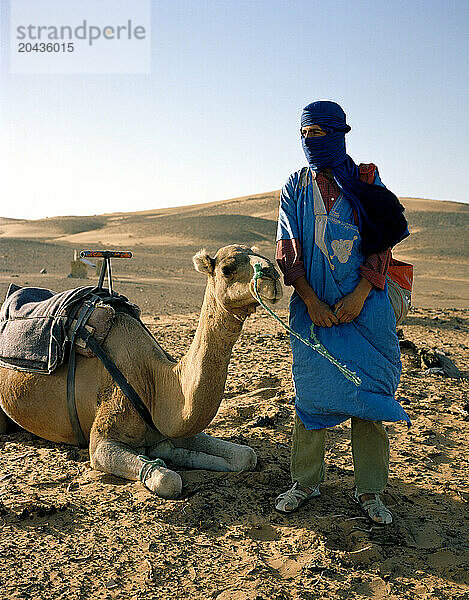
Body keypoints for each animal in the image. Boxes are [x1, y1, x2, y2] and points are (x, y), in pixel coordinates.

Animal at [0, 244, 282, 496]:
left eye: (261, 255)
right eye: (227, 269)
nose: (273, 275)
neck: (155, 382)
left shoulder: (171, 425)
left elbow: (247, 455)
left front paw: (167, 451)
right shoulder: (101, 442)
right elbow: (167, 480)